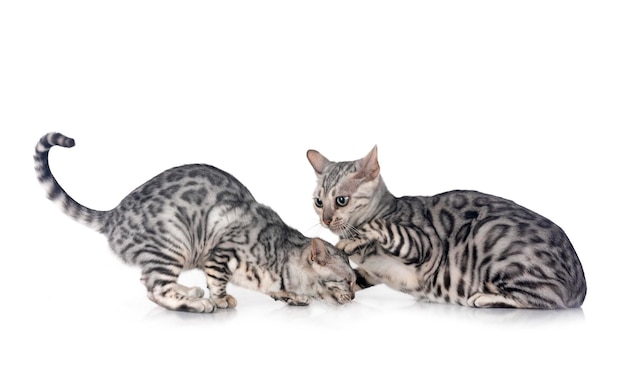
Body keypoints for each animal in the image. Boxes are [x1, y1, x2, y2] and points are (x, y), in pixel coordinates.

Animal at [35, 133, 356, 314]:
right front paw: (222, 299)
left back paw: (188, 292)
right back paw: (195, 303)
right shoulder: (220, 254)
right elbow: (217, 282)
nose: (354, 296)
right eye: (347, 281)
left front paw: (292, 297)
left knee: (149, 280)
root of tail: (113, 214)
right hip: (173, 244)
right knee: (154, 288)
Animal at [306, 146, 584, 310]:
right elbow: (350, 278)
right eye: (318, 202)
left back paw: (485, 298)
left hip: (491, 239)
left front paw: (352, 240)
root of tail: (582, 284)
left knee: (548, 298)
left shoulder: (424, 244)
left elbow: (381, 225)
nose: (326, 220)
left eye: (341, 200)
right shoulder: (369, 273)